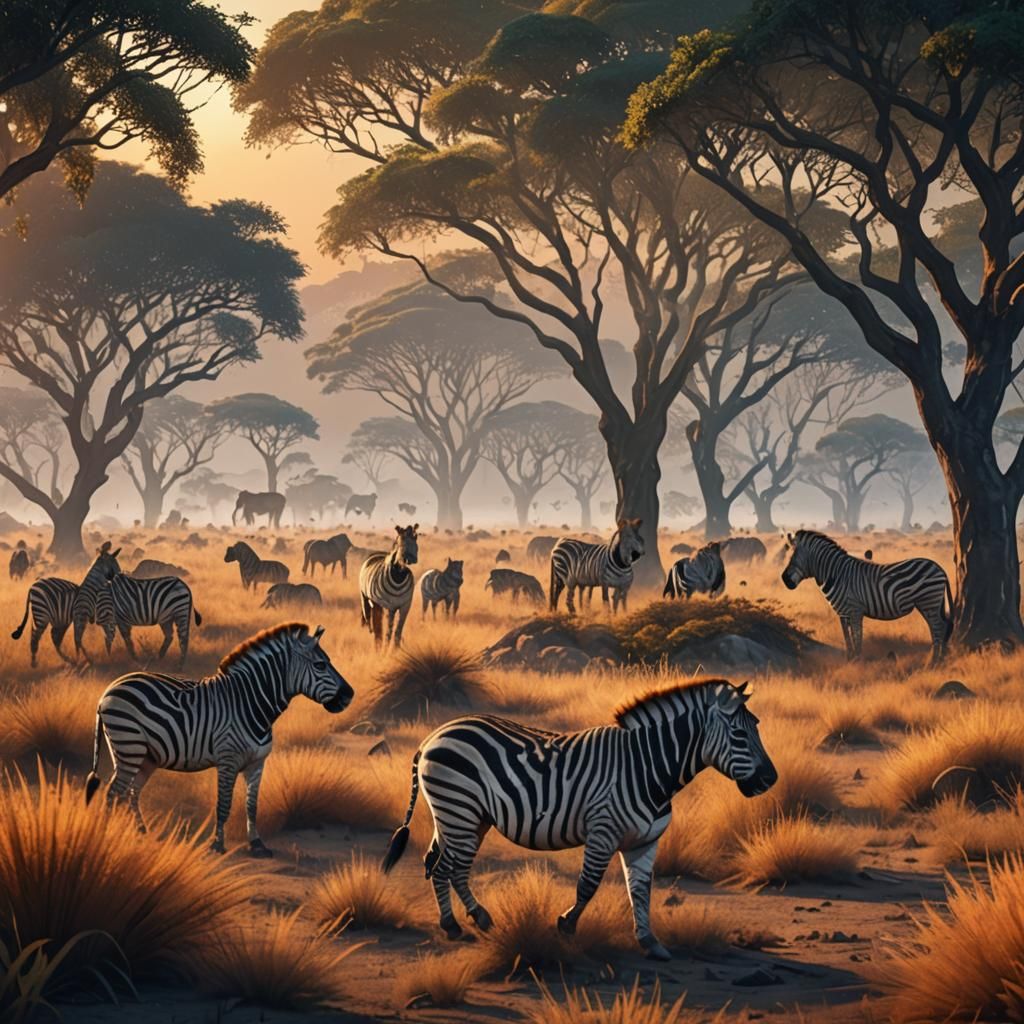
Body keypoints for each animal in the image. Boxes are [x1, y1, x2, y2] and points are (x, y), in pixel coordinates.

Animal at [85, 622, 354, 856]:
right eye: (320, 665)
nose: (349, 695)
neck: (250, 704)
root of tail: (109, 689)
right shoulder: (228, 760)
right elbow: (223, 805)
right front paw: (217, 846)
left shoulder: (257, 763)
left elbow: (251, 806)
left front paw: (257, 844)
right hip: (129, 745)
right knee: (113, 792)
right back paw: (107, 834)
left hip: (146, 756)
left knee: (131, 791)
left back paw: (140, 831)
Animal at [381, 678, 776, 959]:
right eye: (740, 734)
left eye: (758, 727)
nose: (771, 780)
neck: (648, 768)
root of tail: (434, 735)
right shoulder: (603, 831)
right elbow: (588, 885)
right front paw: (566, 925)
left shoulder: (646, 841)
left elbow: (641, 890)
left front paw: (650, 942)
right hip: (459, 810)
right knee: (447, 867)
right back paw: (456, 924)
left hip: (462, 816)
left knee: (441, 863)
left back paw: (470, 918)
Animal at [781, 530, 953, 664]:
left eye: (793, 557)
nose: (784, 580)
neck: (836, 574)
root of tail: (940, 568)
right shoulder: (843, 613)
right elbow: (847, 639)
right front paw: (849, 662)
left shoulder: (855, 610)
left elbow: (857, 638)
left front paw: (857, 663)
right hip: (928, 604)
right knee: (939, 627)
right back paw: (939, 659)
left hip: (928, 601)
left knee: (939, 627)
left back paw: (934, 662)